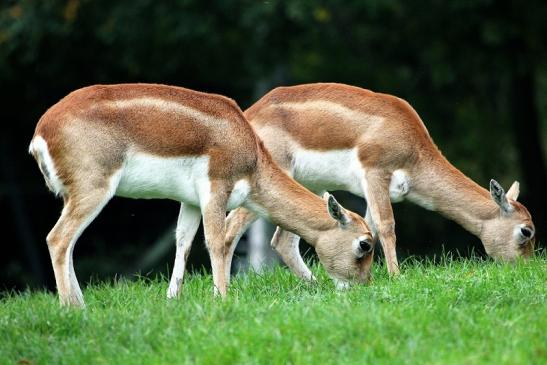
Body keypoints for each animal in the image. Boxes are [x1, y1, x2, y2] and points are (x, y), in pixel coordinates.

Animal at [28, 84, 372, 306]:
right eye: (364, 245)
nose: (364, 286)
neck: (249, 151)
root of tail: (41, 132)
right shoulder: (215, 190)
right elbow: (216, 242)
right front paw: (223, 298)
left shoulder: (190, 202)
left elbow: (183, 242)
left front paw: (172, 298)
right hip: (94, 190)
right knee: (58, 239)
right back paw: (71, 309)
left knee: (68, 243)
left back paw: (79, 303)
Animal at [222, 82, 536, 276]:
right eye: (526, 231)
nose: (526, 268)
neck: (412, 144)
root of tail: (250, 113)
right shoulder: (376, 174)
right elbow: (386, 226)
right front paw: (396, 276)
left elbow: (369, 229)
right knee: (229, 229)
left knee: (283, 240)